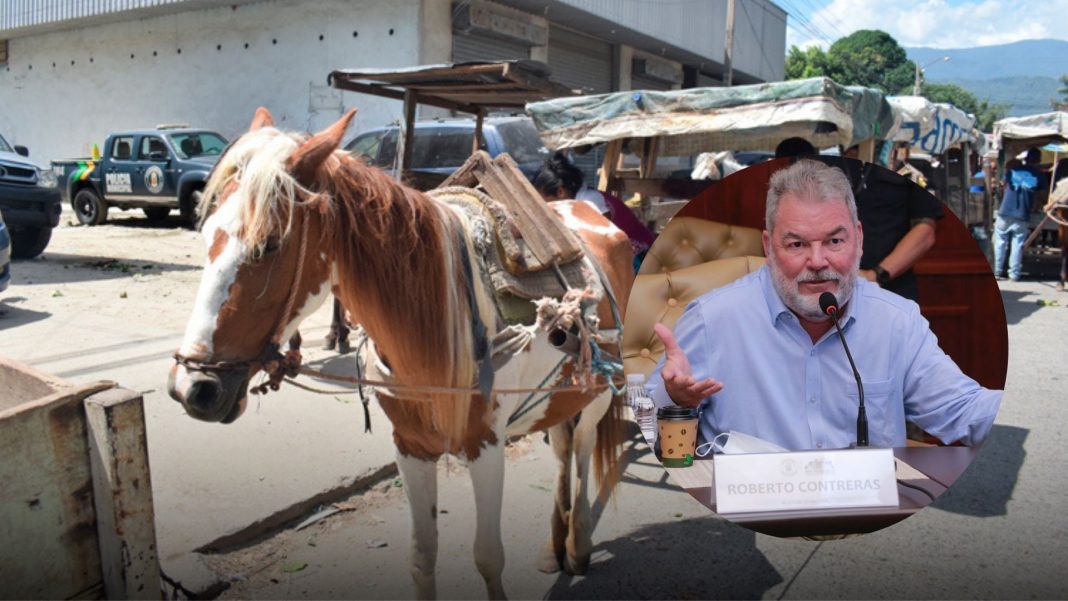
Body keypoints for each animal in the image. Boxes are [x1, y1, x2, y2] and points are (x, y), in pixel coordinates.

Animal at [166, 106, 632, 597]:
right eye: (205, 235)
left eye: (270, 243)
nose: (193, 387)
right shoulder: (410, 447)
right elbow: (421, 557)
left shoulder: (486, 446)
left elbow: (488, 556)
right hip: (560, 394)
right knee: (561, 448)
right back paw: (554, 545)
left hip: (599, 392)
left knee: (581, 450)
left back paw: (578, 545)